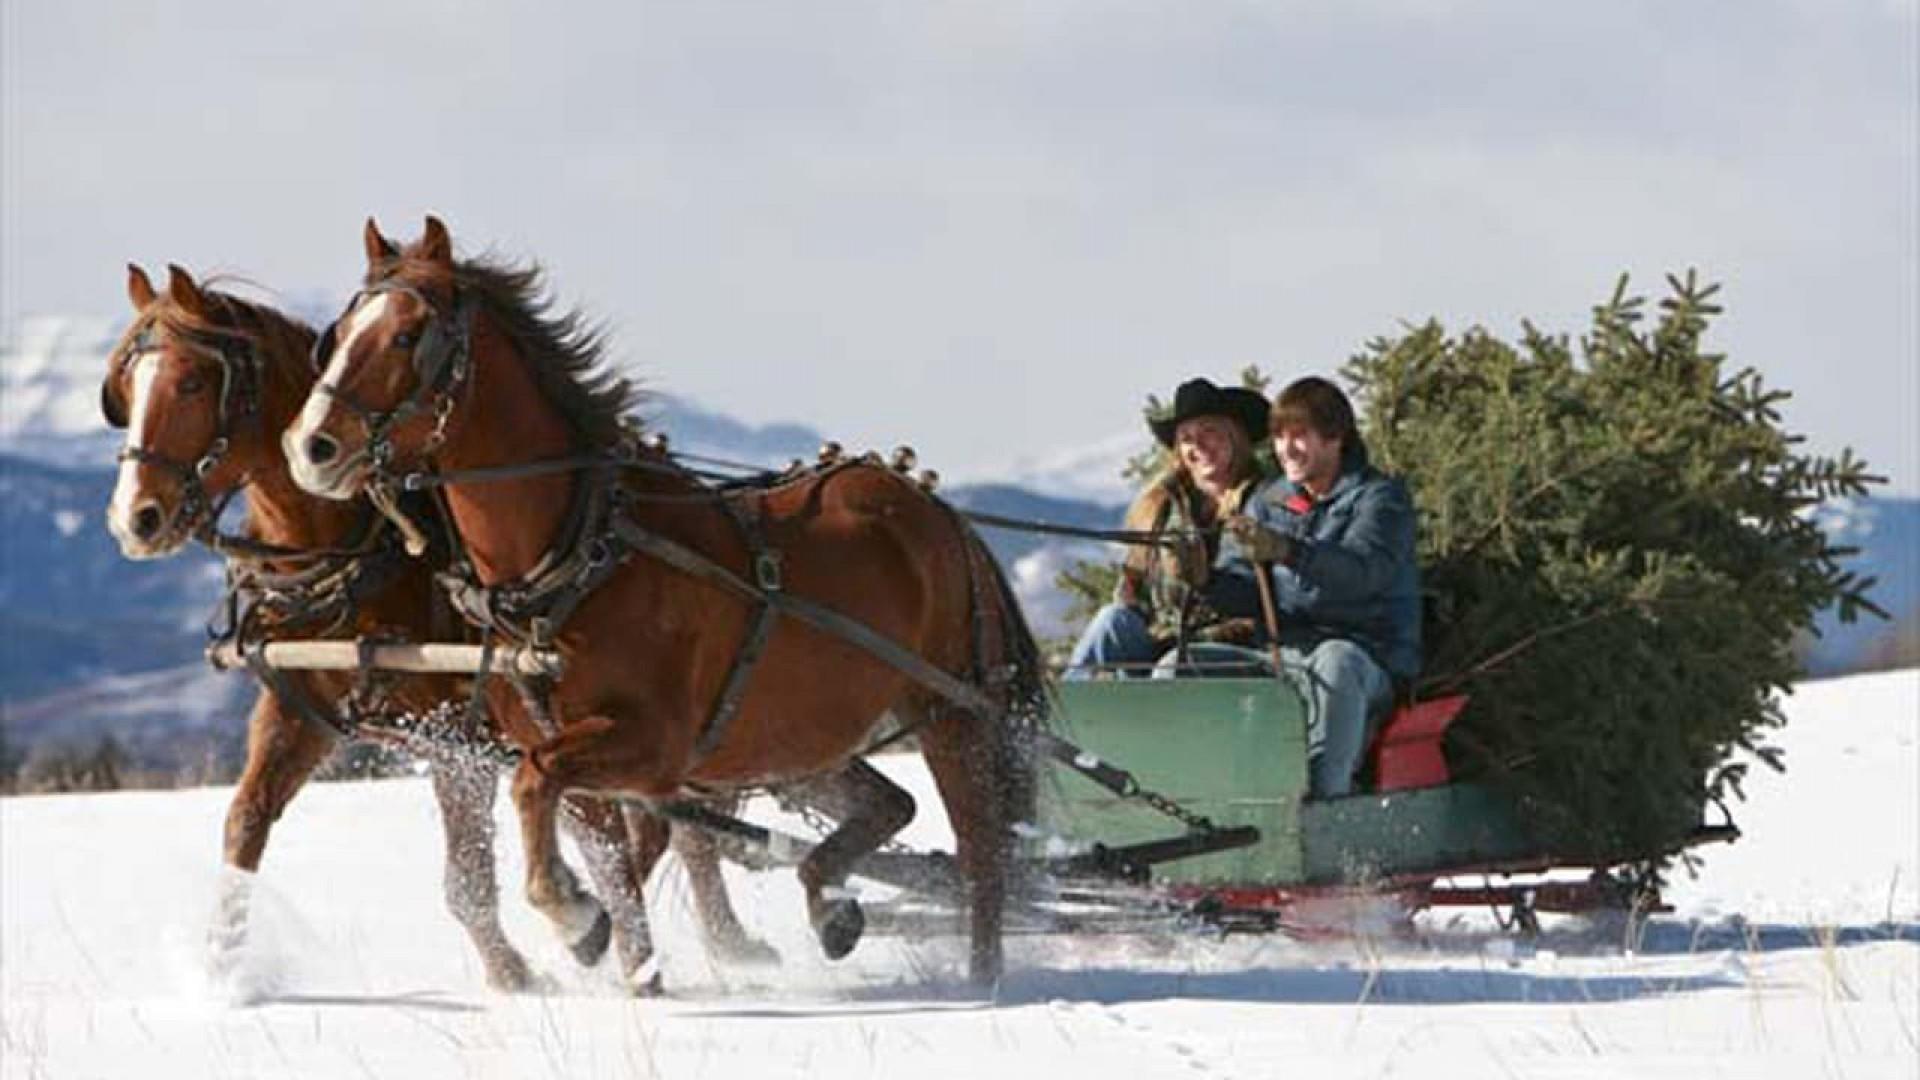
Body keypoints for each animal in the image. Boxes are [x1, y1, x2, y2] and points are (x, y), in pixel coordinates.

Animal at [101, 265, 775, 991]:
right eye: (125, 390)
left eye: (194, 381)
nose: (135, 518)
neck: (359, 547)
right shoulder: (296, 710)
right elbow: (245, 823)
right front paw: (221, 968)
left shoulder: (457, 733)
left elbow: (470, 879)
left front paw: (515, 976)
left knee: (672, 826)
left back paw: (711, 942)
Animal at [284, 216, 1052, 983]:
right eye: (339, 333)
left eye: (409, 335)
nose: (310, 447)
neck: (581, 554)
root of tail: (938, 511)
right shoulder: (579, 763)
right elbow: (612, 864)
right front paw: (626, 965)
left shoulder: (654, 749)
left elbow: (540, 789)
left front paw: (573, 916)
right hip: (805, 739)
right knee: (893, 804)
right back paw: (831, 903)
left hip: (953, 712)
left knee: (981, 854)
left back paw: (983, 980)